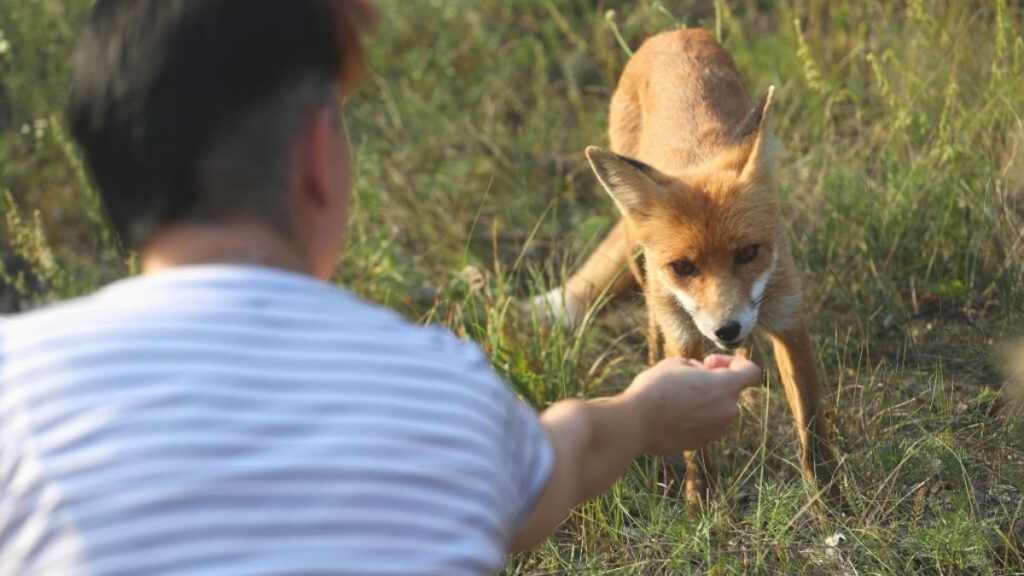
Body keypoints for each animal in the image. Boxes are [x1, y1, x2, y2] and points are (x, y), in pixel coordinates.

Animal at [536, 28, 839, 502]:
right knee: (651, 323)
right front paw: (703, 506)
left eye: (748, 253)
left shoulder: (789, 318)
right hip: (640, 261)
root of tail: (673, 34)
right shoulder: (684, 332)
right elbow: (696, 447)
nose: (726, 329)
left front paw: (829, 499)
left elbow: (811, 427)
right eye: (683, 267)